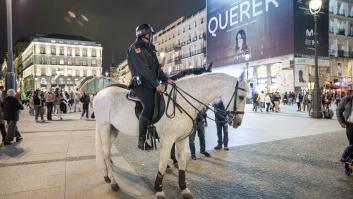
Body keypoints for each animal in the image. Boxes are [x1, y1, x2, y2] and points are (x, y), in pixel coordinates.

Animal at [93, 72, 248, 198]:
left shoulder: (181, 140)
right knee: (106, 154)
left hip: (113, 129)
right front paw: (159, 190)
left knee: (105, 151)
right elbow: (162, 164)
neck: (182, 102)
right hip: (104, 127)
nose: (238, 122)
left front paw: (184, 189)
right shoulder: (167, 140)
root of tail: (100, 93)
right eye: (241, 97)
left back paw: (107, 176)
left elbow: (182, 162)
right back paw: (113, 182)